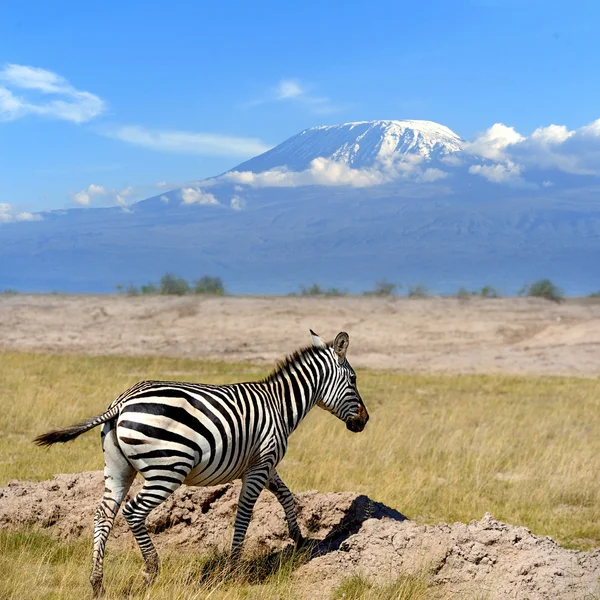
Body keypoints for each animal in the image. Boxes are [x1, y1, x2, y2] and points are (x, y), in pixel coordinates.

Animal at [36, 330, 370, 596]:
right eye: (354, 380)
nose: (365, 421)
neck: (279, 405)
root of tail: (121, 402)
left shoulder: (264, 464)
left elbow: (286, 496)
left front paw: (299, 540)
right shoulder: (260, 465)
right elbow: (244, 514)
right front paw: (233, 569)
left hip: (118, 469)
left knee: (103, 514)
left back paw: (97, 583)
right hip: (167, 469)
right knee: (133, 512)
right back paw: (150, 571)